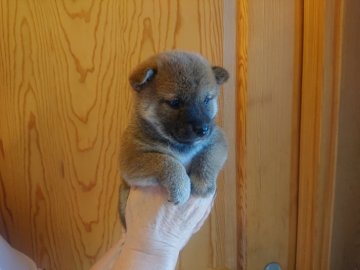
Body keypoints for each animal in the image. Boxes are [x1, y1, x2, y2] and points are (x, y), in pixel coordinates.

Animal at [119, 51, 229, 228]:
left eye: (206, 99)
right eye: (175, 102)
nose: (203, 130)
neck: (182, 146)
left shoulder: (218, 139)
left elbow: (209, 157)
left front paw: (203, 182)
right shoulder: (131, 158)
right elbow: (166, 161)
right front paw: (181, 186)